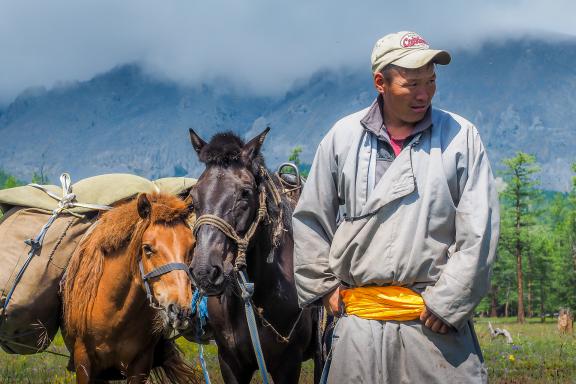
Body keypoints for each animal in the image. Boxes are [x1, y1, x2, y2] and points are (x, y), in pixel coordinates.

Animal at [61, 194, 199, 382]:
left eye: (192, 246)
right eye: (147, 248)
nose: (180, 309)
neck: (115, 314)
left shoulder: (140, 364)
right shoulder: (83, 361)